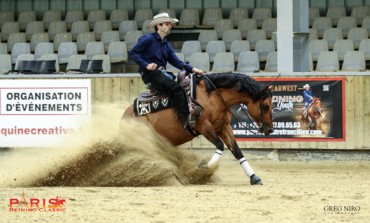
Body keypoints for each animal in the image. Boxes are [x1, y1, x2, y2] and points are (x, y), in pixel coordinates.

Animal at [122, 72, 274, 185]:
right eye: (266, 106)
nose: (270, 130)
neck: (213, 96)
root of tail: (125, 115)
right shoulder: (204, 126)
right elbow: (220, 145)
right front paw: (203, 168)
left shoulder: (223, 127)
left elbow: (236, 151)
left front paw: (254, 177)